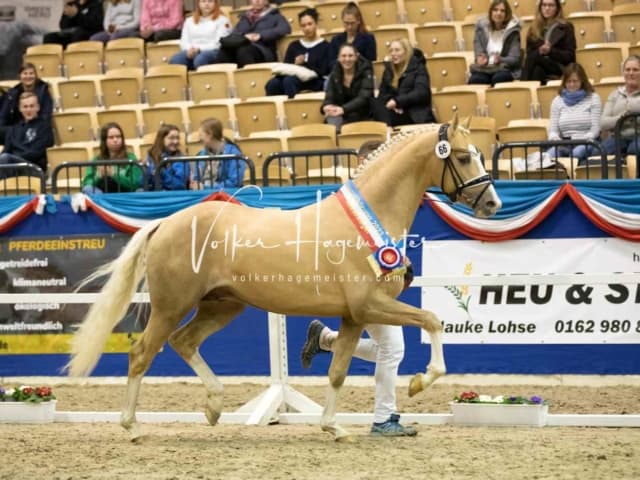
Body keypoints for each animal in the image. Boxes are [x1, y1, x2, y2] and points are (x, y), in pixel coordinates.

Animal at [67, 115, 502, 438]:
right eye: (462, 157)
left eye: (479, 154)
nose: (493, 204)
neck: (368, 218)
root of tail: (163, 223)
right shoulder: (370, 306)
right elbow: (432, 320)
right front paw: (418, 382)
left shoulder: (353, 316)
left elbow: (338, 372)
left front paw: (333, 428)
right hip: (171, 306)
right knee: (142, 353)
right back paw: (133, 426)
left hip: (222, 306)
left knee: (184, 342)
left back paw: (214, 407)